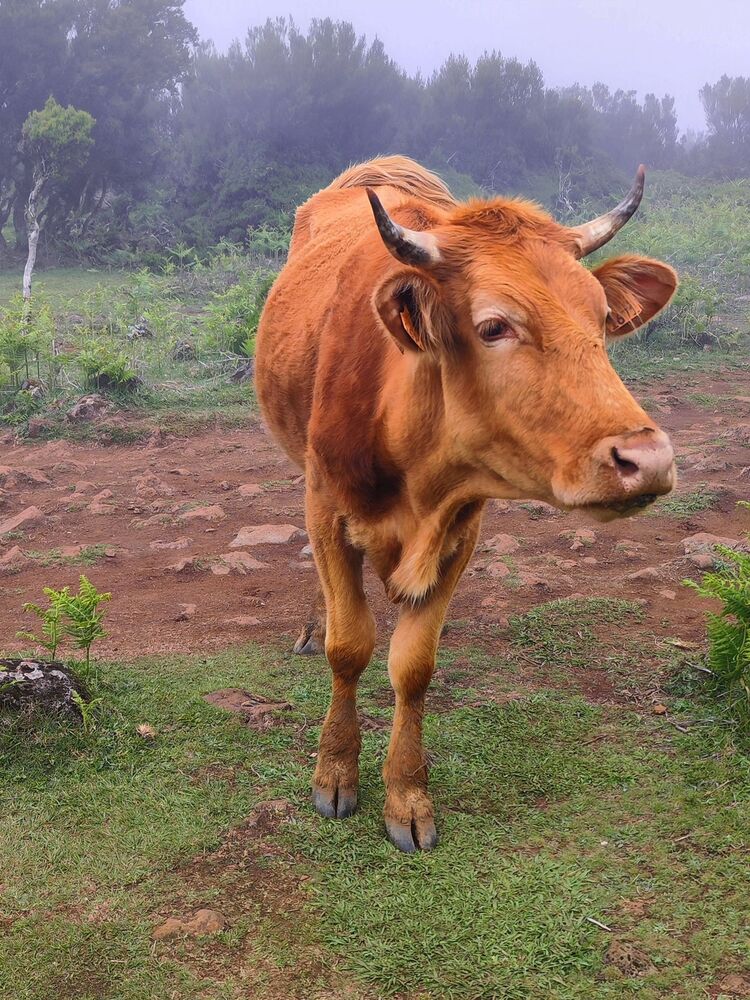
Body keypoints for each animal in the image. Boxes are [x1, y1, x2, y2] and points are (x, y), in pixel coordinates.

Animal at [255, 156, 677, 853]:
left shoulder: (462, 529)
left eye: (600, 318)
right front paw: (335, 771)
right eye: (493, 326)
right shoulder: (325, 507)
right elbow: (349, 645)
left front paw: (407, 797)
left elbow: (413, 665)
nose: (648, 459)